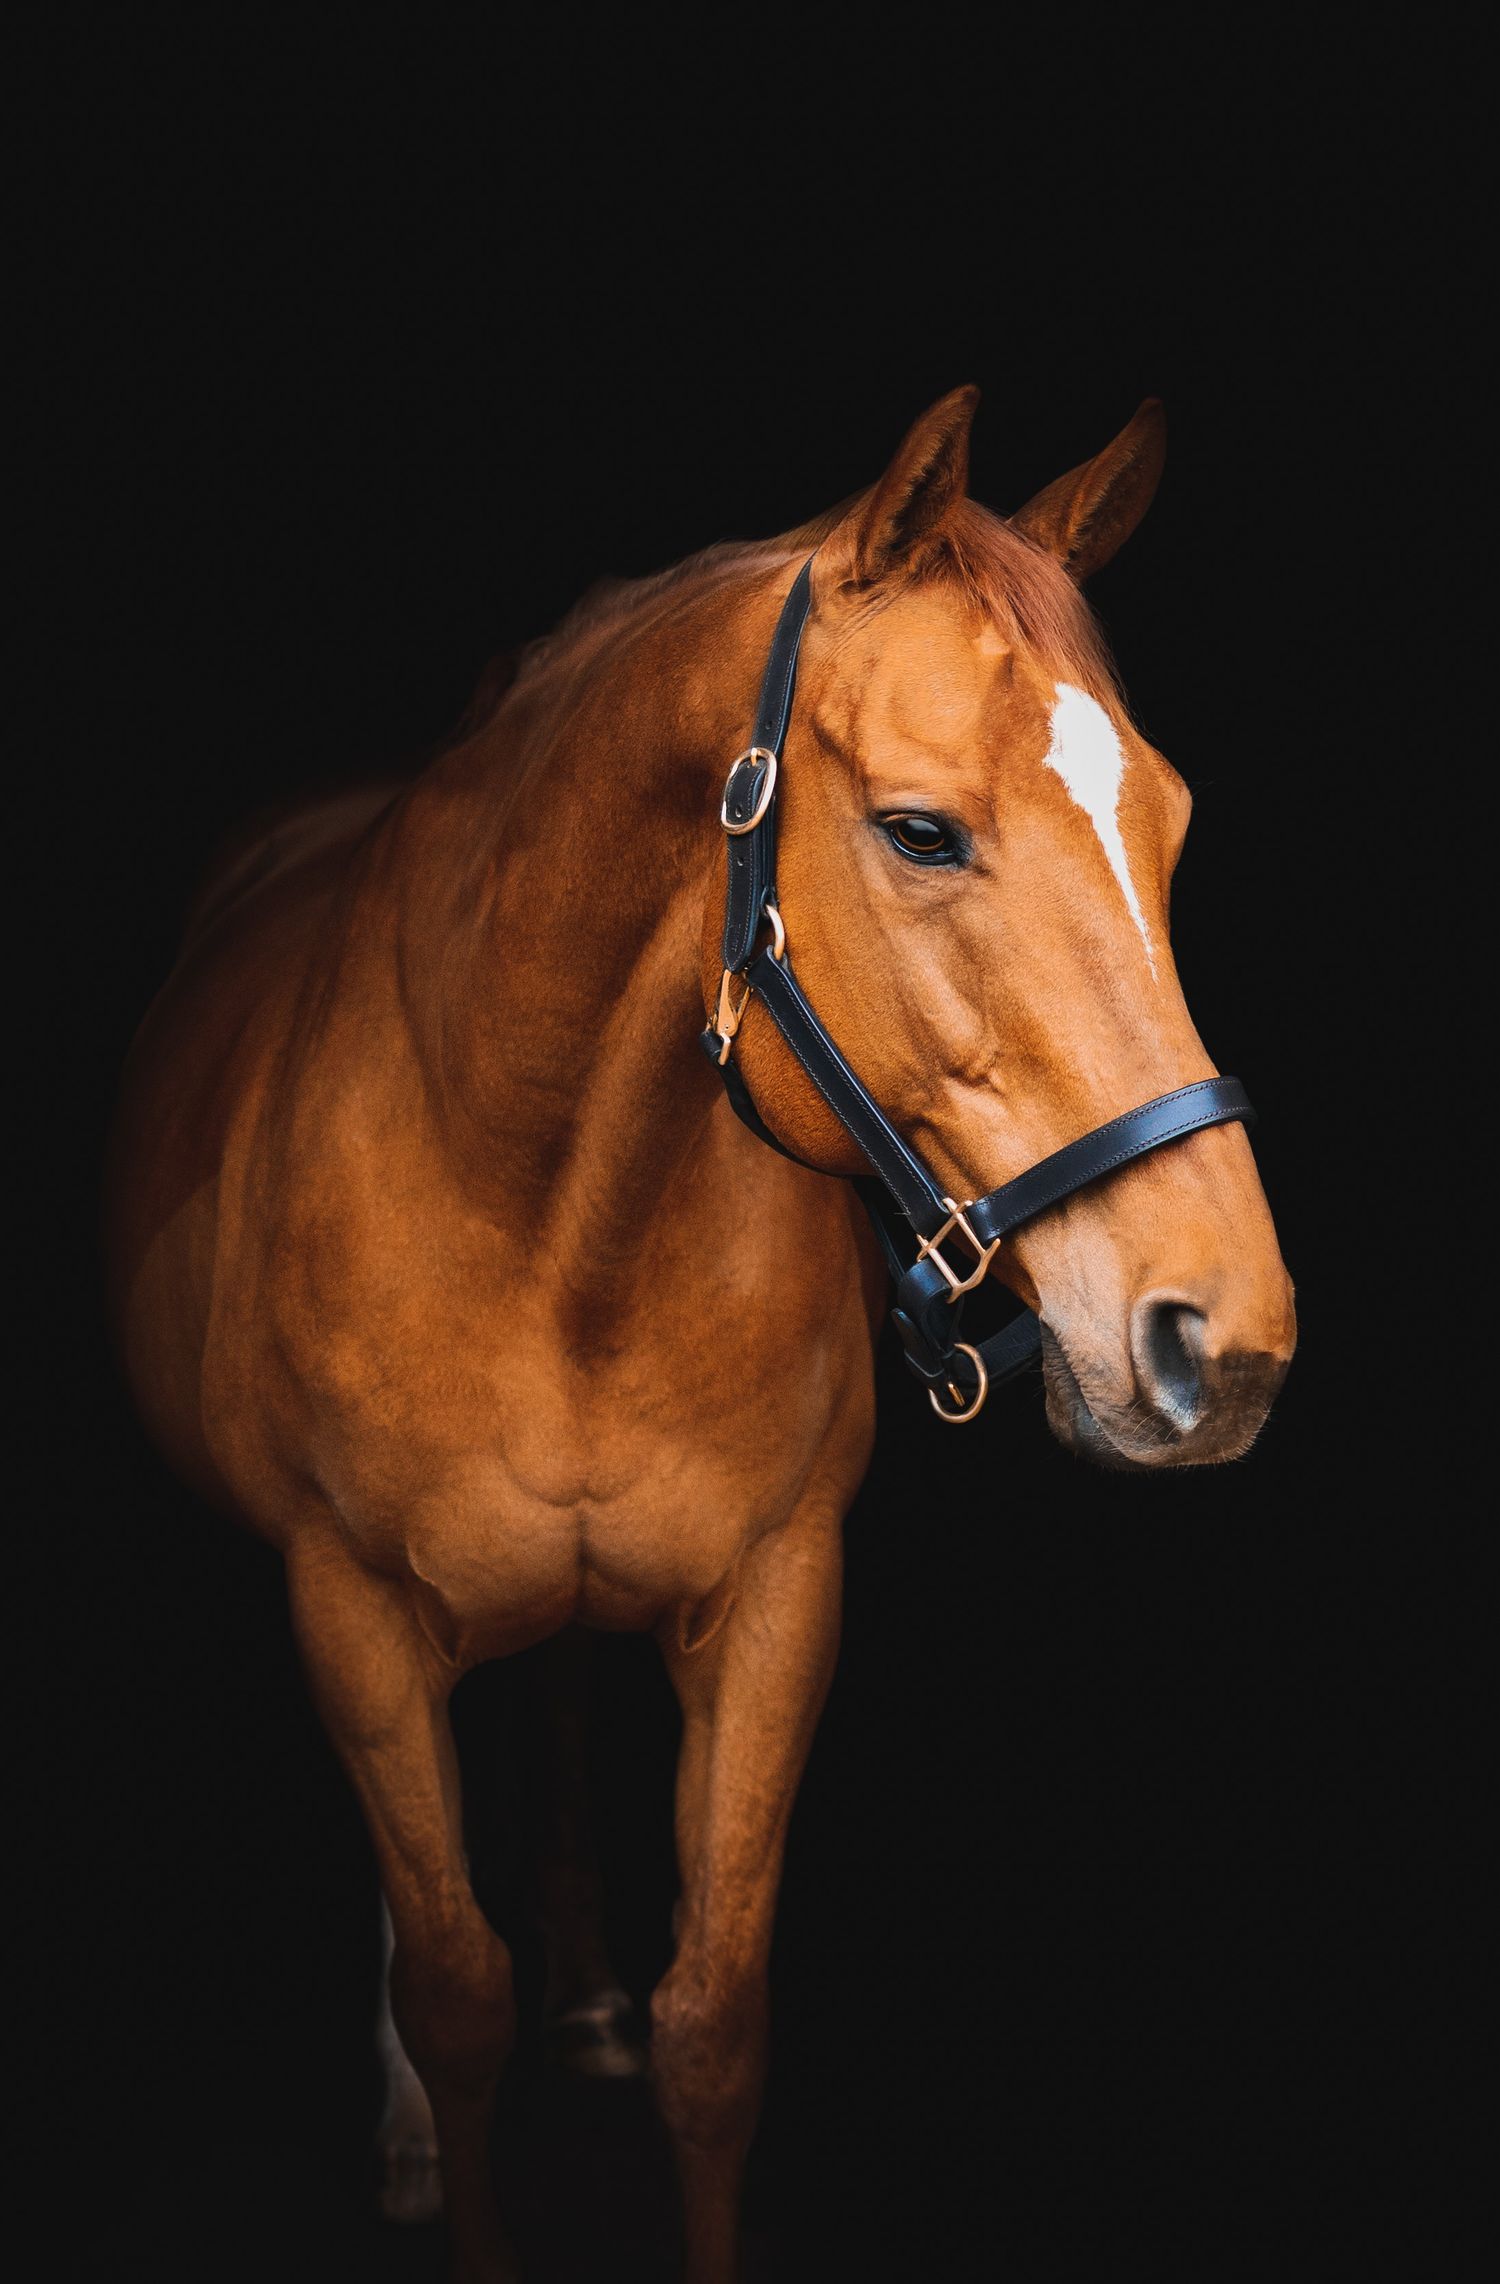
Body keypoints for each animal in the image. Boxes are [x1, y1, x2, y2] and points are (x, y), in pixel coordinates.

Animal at [106, 387, 1296, 2282]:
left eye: (1170, 823)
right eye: (921, 830)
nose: (1221, 1339)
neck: (548, 1220)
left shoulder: (775, 1598)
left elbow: (714, 2029)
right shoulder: (346, 1606)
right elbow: (455, 1995)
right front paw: (439, 2130)